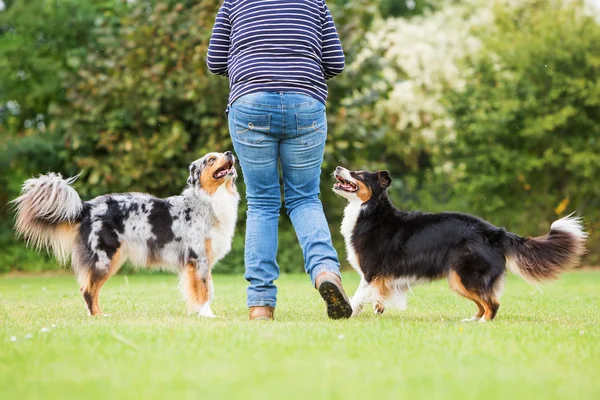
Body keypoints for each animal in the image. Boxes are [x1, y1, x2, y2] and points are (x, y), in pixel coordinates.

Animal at [14, 152, 239, 318]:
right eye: (210, 159)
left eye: (222, 153)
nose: (230, 152)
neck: (208, 201)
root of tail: (87, 207)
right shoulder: (198, 258)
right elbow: (204, 290)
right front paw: (208, 315)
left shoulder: (203, 262)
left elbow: (207, 289)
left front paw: (199, 313)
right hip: (104, 259)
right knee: (88, 289)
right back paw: (98, 316)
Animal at [336, 166, 588, 322]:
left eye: (359, 174)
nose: (338, 167)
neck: (370, 211)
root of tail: (496, 233)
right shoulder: (378, 276)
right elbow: (372, 295)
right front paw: (375, 307)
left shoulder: (371, 272)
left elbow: (358, 295)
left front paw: (347, 313)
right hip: (460, 279)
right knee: (484, 303)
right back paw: (471, 321)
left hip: (463, 276)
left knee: (492, 304)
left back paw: (483, 323)